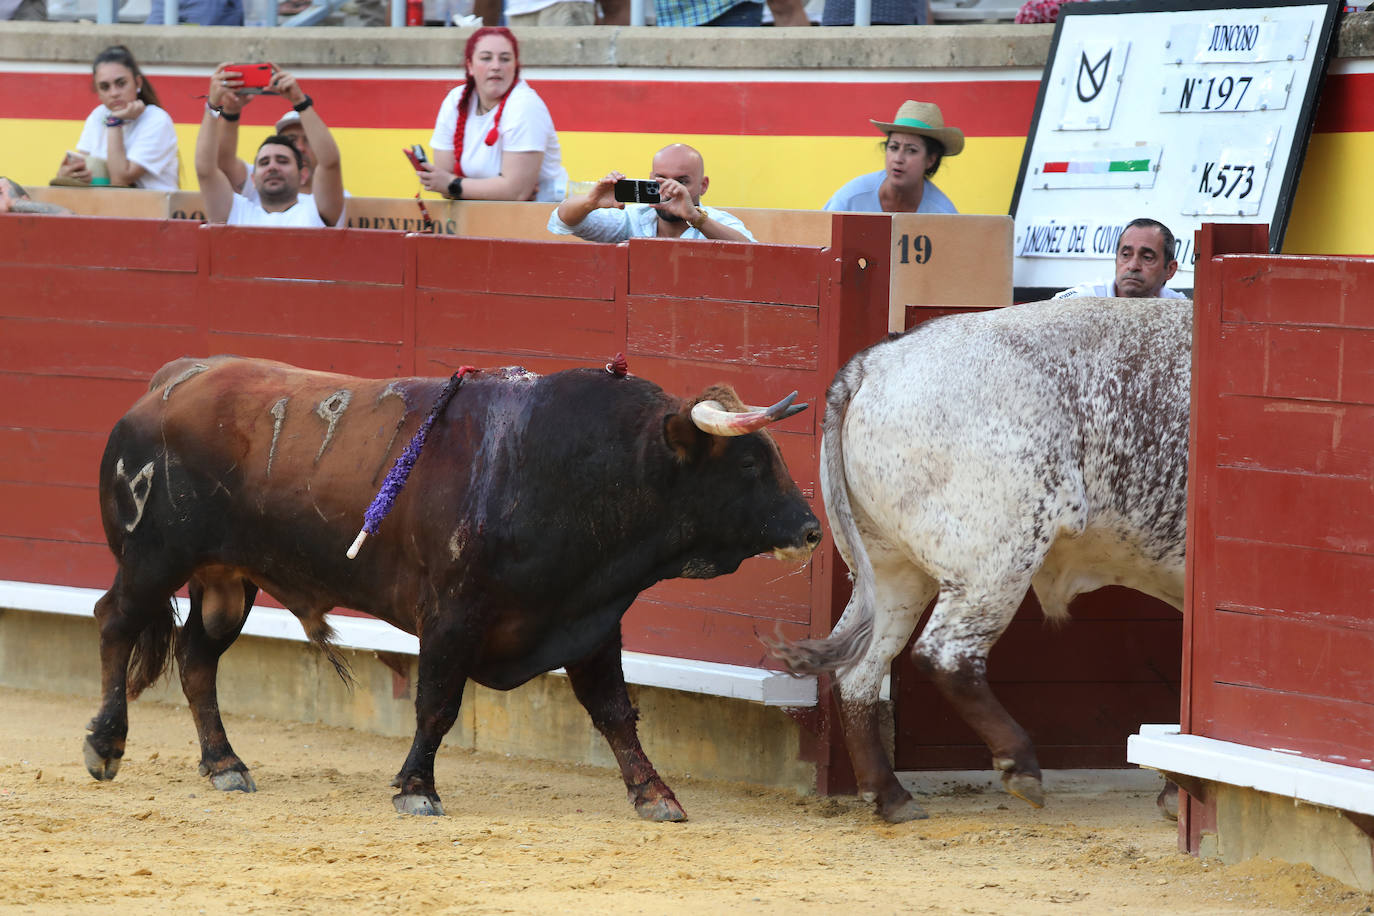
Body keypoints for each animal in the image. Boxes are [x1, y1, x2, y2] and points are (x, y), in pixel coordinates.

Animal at [774, 300, 1192, 823]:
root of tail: (875, 361)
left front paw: (1174, 793)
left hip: (892, 572)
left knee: (860, 670)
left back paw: (890, 795)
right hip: (996, 562)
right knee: (945, 655)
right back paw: (1020, 764)